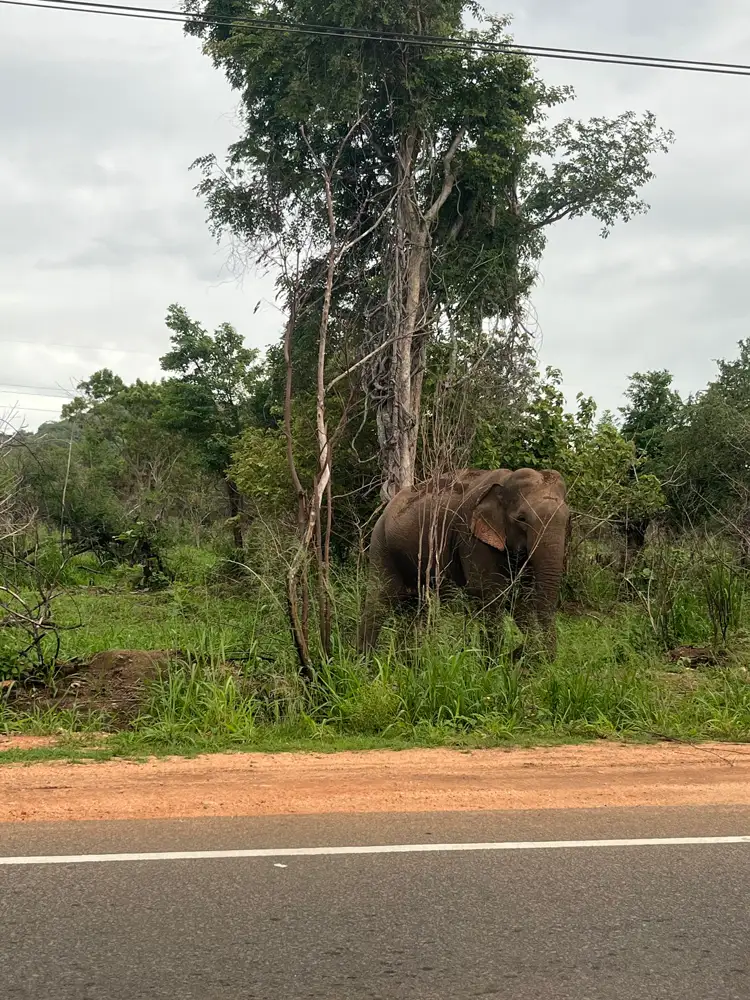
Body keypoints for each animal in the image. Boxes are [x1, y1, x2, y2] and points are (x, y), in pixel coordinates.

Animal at [358, 467, 570, 660]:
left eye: (568, 519)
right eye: (522, 519)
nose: (516, 653)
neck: (505, 481)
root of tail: (389, 502)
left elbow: (521, 600)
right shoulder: (470, 538)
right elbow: (488, 594)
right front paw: (492, 667)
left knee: (416, 608)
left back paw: (405, 664)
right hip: (381, 543)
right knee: (379, 600)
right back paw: (365, 664)